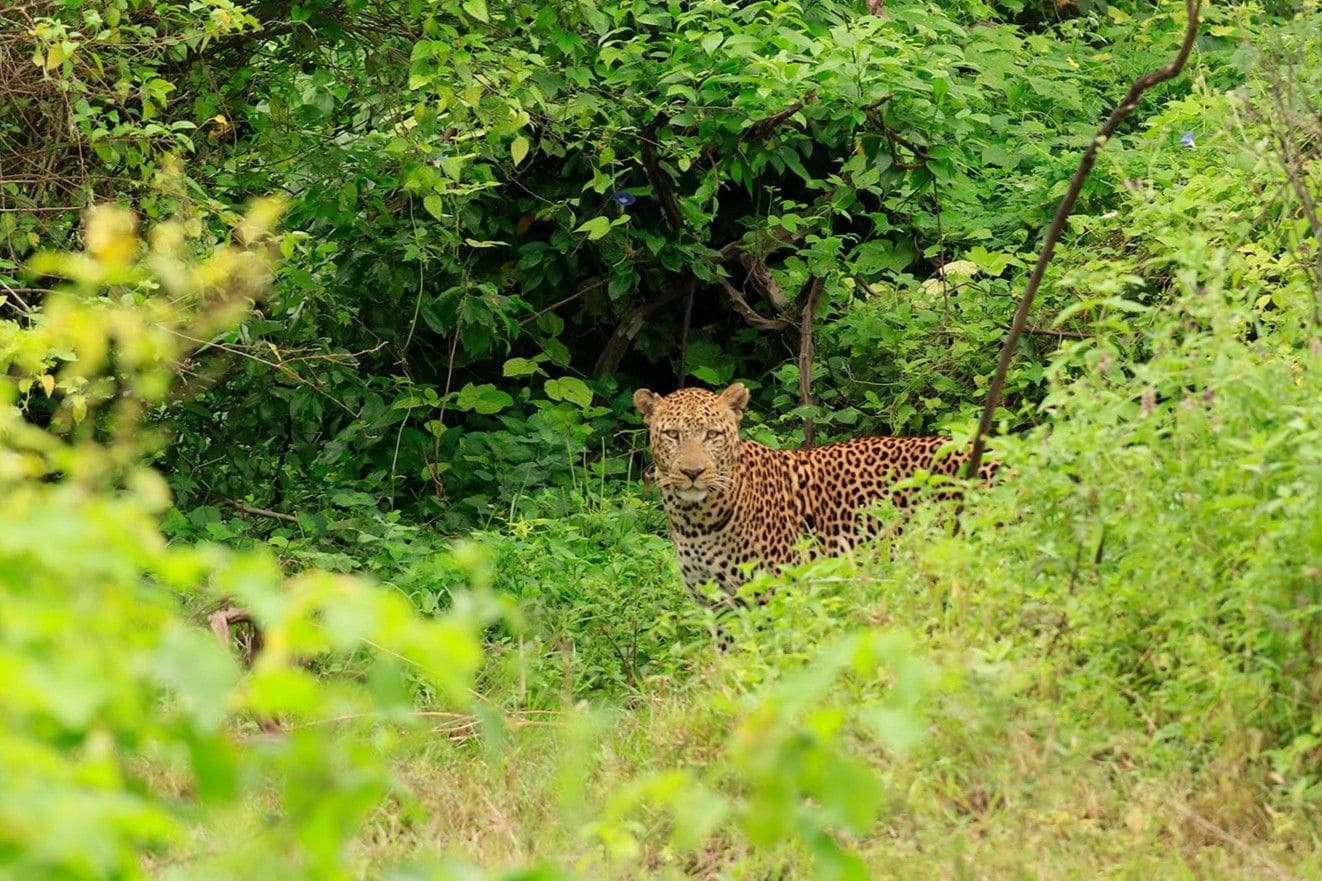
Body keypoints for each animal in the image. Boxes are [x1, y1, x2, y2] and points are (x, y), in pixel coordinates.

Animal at [633, 382, 995, 599]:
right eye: (672, 435)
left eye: (712, 435)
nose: (692, 472)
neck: (694, 520)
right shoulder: (717, 605)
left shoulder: (773, 593)